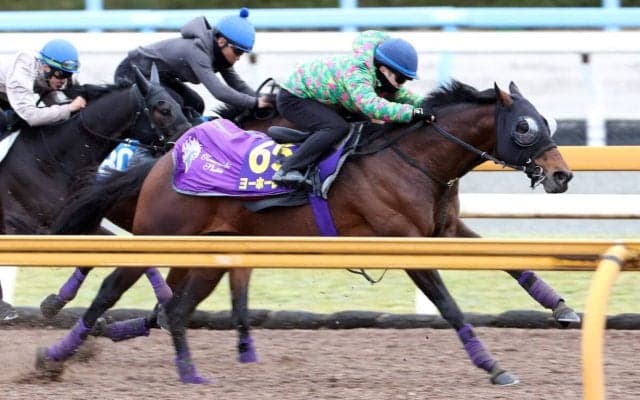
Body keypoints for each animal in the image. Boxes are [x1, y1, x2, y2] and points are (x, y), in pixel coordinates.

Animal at [0, 66, 191, 320]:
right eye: (163, 108)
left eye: (180, 104)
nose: (188, 139)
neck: (51, 162)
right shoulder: (21, 228)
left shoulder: (83, 224)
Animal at [40, 80, 578, 386]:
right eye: (525, 126)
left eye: (546, 120)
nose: (562, 176)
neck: (414, 159)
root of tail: (167, 158)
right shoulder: (408, 244)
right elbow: (448, 306)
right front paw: (491, 365)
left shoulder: (442, 231)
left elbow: (513, 263)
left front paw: (562, 307)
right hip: (162, 234)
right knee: (112, 290)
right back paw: (54, 356)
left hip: (211, 251)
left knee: (173, 307)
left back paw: (182, 368)